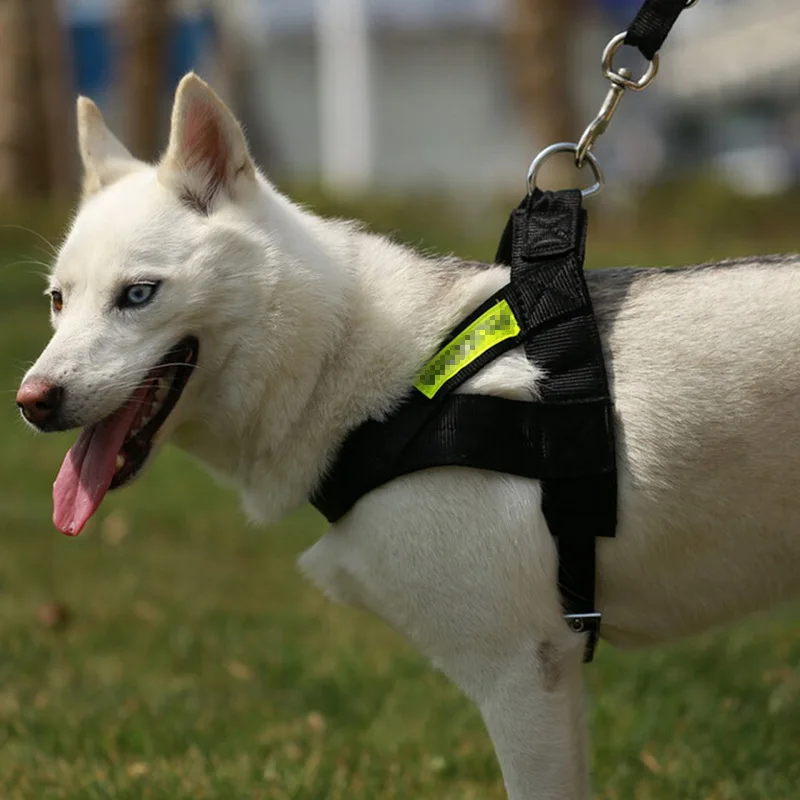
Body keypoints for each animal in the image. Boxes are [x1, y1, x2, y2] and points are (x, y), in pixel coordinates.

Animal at [16, 73, 800, 799]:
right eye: (57, 301)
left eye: (137, 295)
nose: (31, 403)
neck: (360, 369)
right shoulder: (551, 676)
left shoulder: (523, 675)